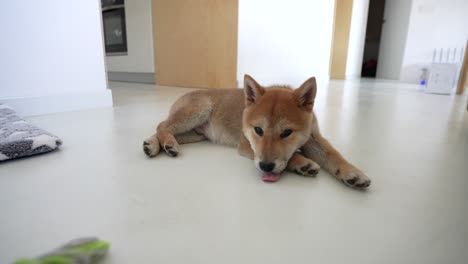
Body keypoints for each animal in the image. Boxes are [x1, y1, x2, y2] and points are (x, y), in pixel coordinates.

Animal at [144, 75, 372, 189]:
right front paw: (302, 163)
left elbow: (333, 155)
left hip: (195, 134)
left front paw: (352, 173)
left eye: (287, 132)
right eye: (258, 130)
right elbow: (290, 156)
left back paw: (155, 145)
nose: (266, 167)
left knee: (165, 127)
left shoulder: (313, 138)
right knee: (162, 125)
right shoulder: (247, 146)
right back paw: (165, 144)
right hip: (197, 111)